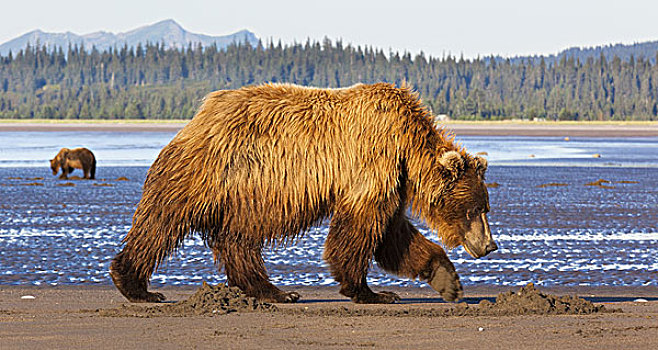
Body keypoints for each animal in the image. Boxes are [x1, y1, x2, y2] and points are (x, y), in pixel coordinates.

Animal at [110, 82, 494, 304]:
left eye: (485, 207)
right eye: (475, 209)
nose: (490, 245)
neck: (406, 144)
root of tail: (198, 116)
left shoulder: (393, 180)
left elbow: (393, 236)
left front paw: (448, 281)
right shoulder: (371, 162)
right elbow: (359, 229)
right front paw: (370, 291)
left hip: (243, 193)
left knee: (236, 238)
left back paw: (274, 291)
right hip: (212, 173)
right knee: (162, 221)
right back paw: (136, 285)